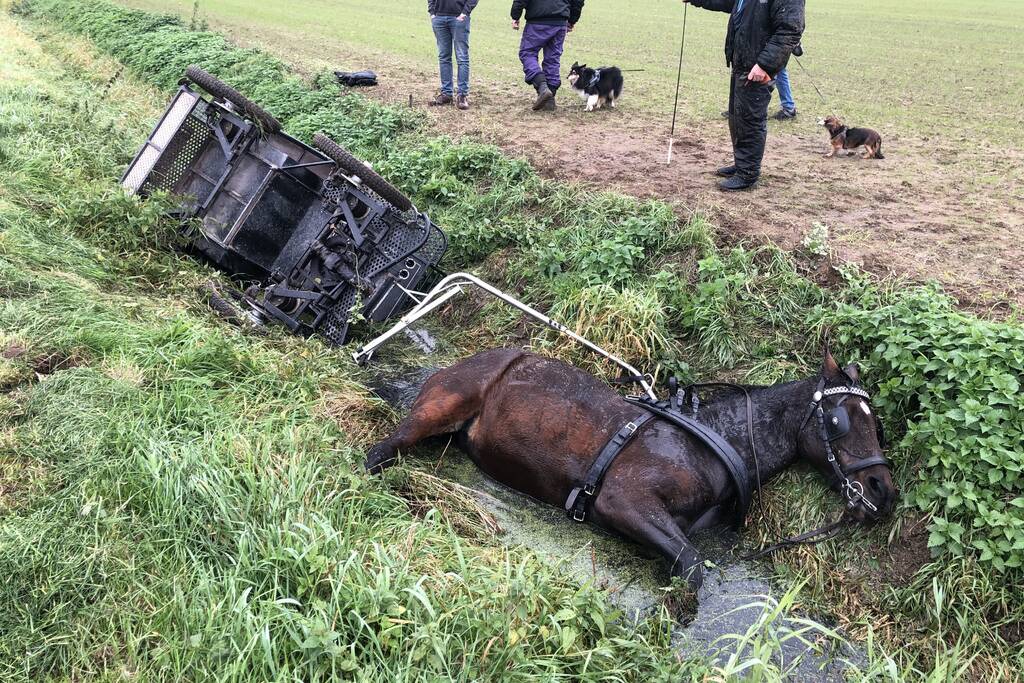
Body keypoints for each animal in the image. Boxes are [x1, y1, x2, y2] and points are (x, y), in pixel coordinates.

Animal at [365, 348, 898, 590]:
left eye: (879, 425)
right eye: (841, 420)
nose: (884, 491)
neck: (714, 439)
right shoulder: (623, 499)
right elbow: (692, 567)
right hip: (439, 409)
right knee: (382, 451)